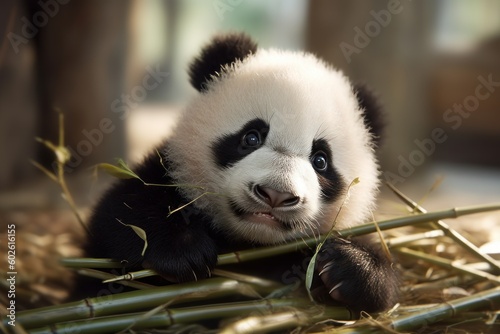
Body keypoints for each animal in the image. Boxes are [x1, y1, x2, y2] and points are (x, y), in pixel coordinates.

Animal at [85, 33, 398, 314]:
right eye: (251, 137)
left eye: (320, 160)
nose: (276, 194)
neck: (249, 242)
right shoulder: (164, 172)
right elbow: (121, 214)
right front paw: (183, 251)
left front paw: (353, 267)